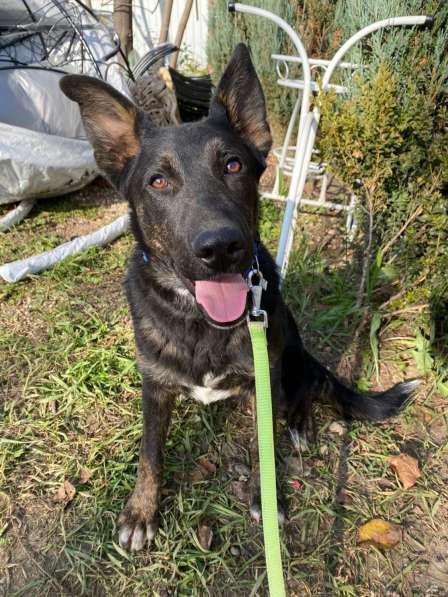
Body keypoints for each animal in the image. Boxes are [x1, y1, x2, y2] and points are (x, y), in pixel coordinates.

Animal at [60, 45, 420, 548]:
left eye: (233, 165)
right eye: (157, 181)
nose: (221, 247)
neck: (199, 321)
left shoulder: (261, 381)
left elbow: (260, 441)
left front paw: (265, 496)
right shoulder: (154, 385)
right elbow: (150, 451)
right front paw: (141, 510)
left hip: (290, 358)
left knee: (304, 390)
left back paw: (301, 425)